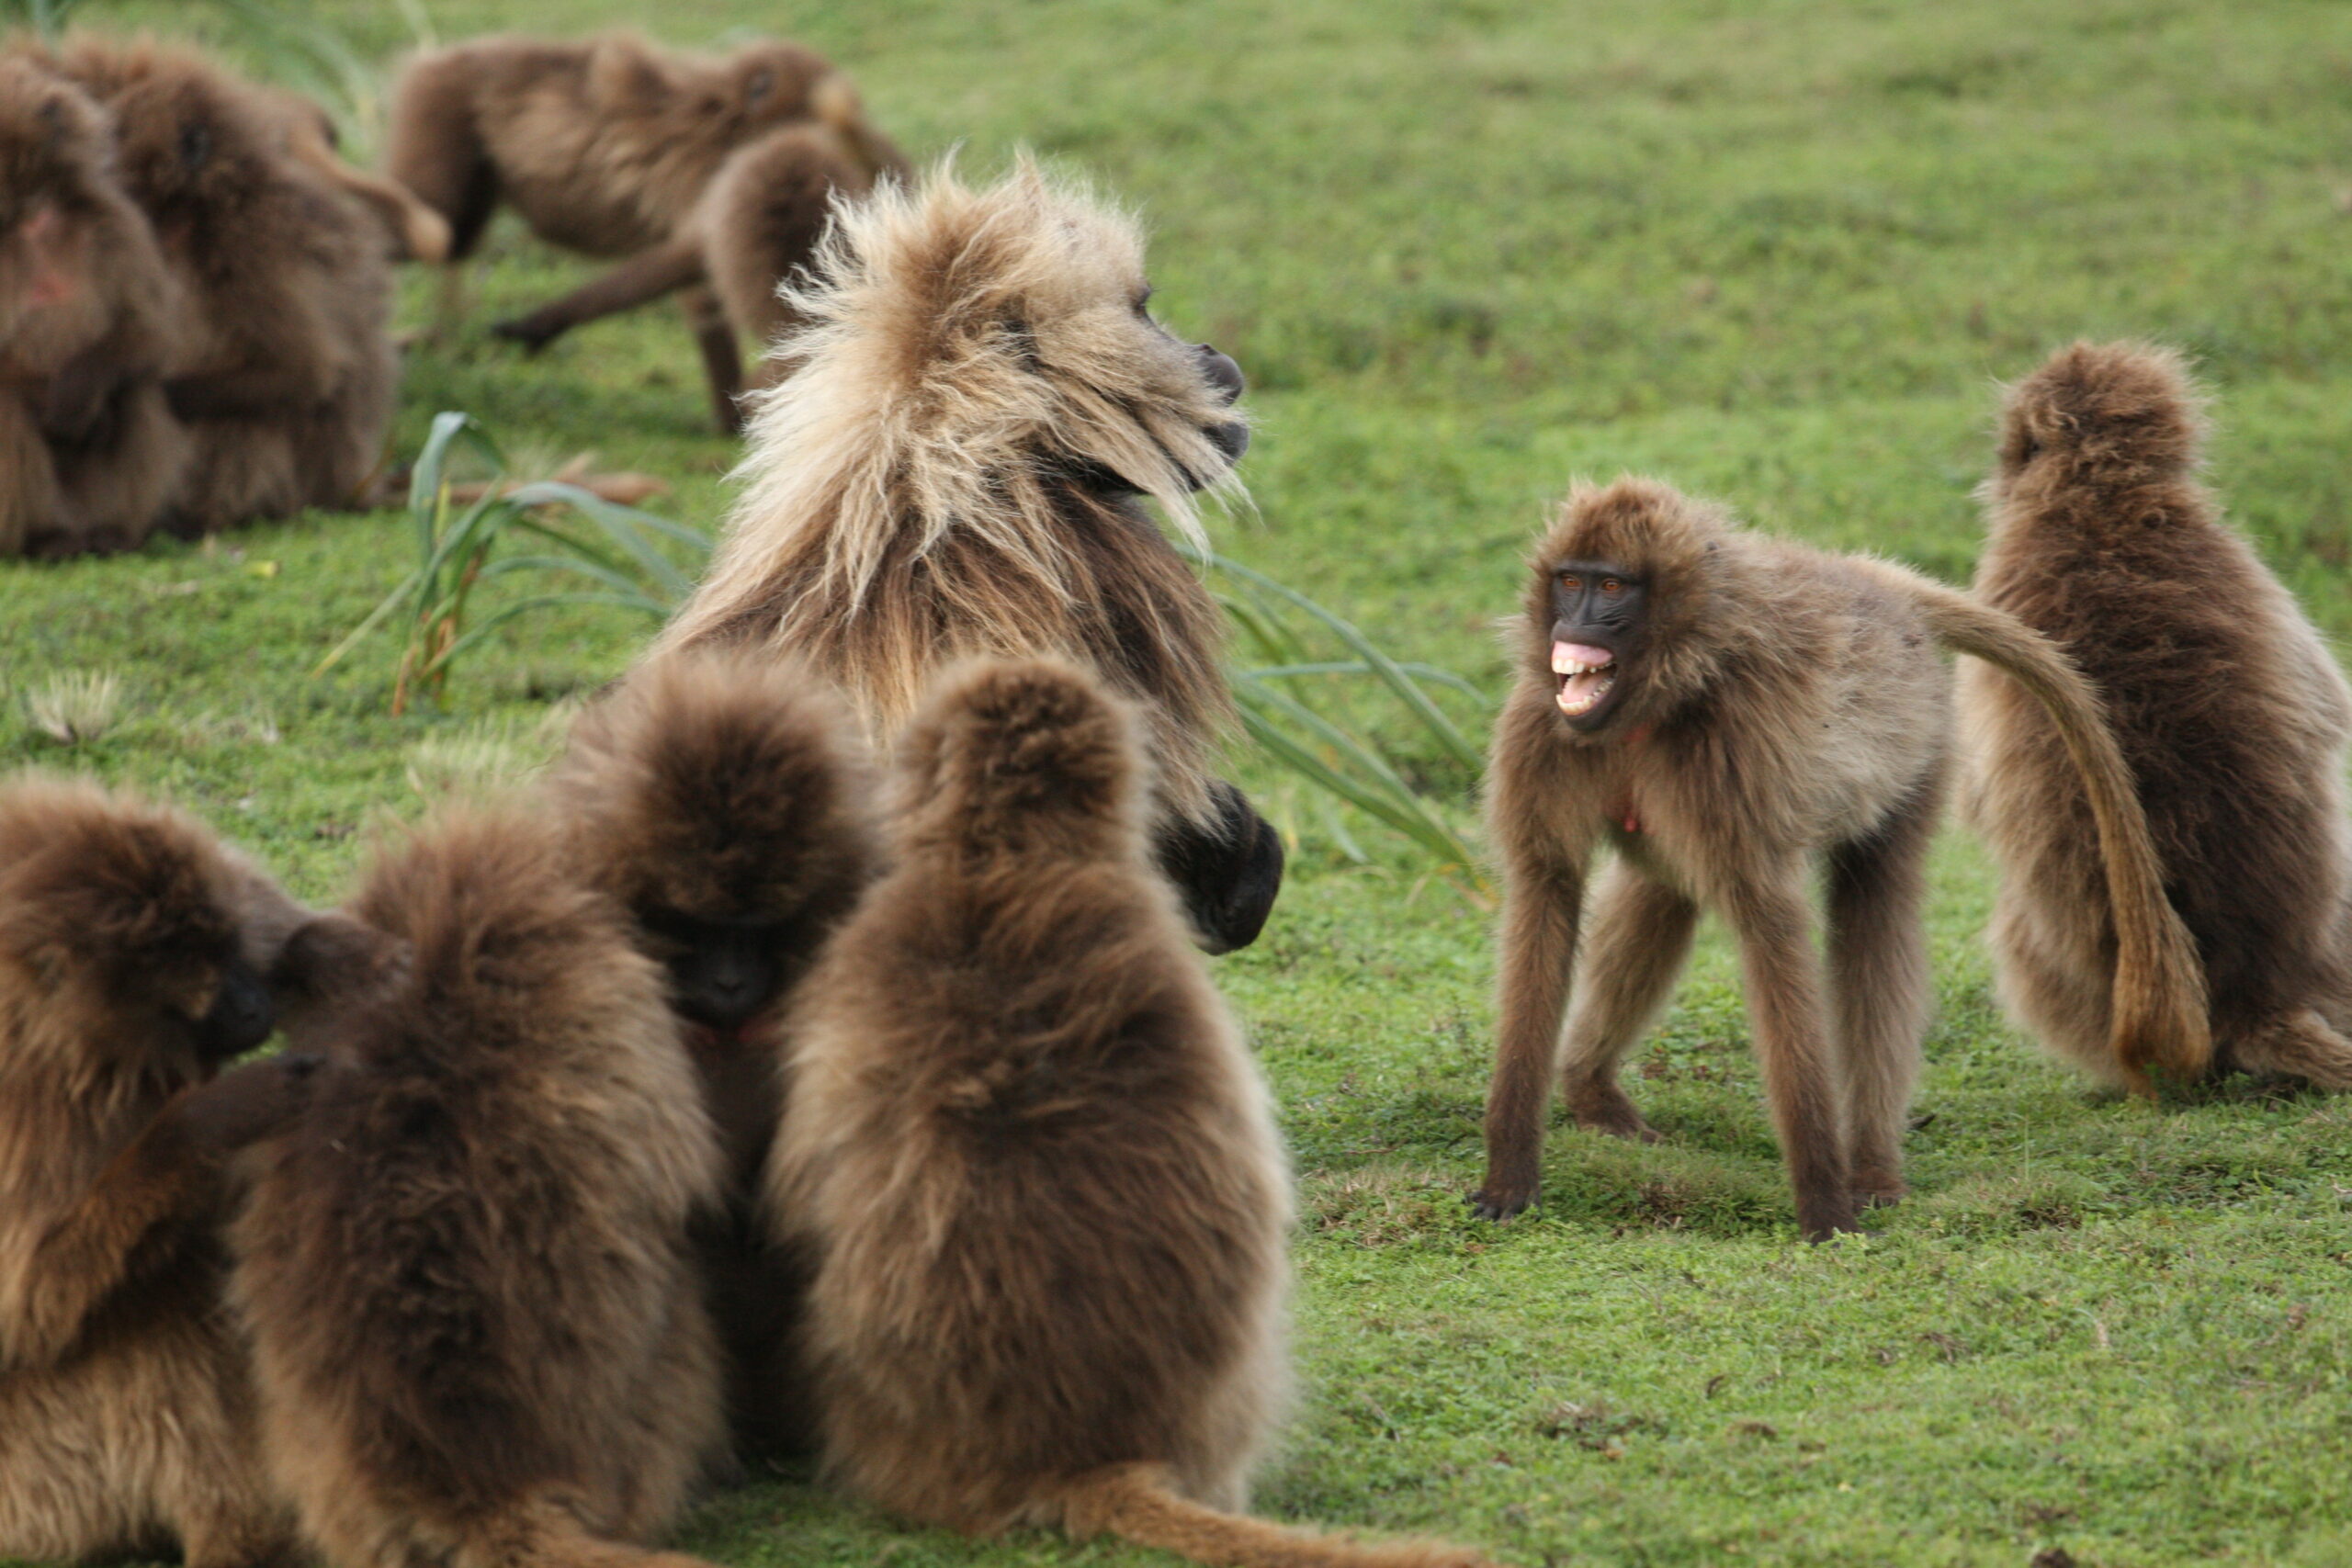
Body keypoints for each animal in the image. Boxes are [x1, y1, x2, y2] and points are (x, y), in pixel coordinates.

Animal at [0, 58, 190, 559]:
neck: (30, 213)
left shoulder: (114, 224)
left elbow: (151, 334)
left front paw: (78, 397)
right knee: (7, 408)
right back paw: (45, 538)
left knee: (137, 392)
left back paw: (111, 533)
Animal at [0, 774, 316, 1568]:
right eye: (201, 981)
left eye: (228, 949)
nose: (256, 1001)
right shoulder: (26, 1116)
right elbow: (27, 1308)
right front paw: (215, 1115)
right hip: (34, 1479)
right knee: (151, 1298)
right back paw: (245, 1533)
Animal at [1469, 477, 2211, 1241]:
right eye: (1570, 581)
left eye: (1612, 586)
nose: (1573, 625)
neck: (1657, 700)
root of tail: (1881, 586)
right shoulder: (1540, 729)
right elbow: (1547, 894)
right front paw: (1510, 1175)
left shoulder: (1734, 746)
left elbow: (1773, 931)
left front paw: (1826, 1207)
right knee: (1667, 891)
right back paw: (1589, 1088)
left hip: (1918, 739)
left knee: (1875, 913)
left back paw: (1873, 1165)